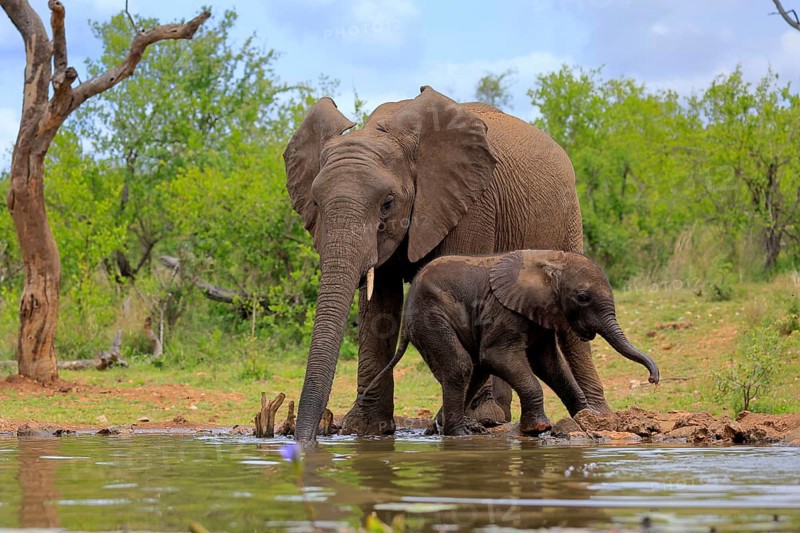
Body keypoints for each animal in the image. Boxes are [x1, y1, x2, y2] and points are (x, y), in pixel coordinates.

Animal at [284, 85, 613, 441]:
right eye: (316, 203)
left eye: (388, 203)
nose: (306, 440)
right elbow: (379, 306)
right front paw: (366, 431)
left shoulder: (473, 203)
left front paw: (458, 425)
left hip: (569, 215)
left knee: (569, 332)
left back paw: (590, 417)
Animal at [359, 250, 660, 436]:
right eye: (582, 297)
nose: (653, 379)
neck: (550, 261)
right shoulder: (504, 309)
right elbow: (498, 356)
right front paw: (538, 428)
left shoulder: (541, 312)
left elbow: (549, 364)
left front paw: (587, 418)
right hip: (430, 318)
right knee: (461, 365)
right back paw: (459, 434)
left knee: (474, 370)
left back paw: (445, 429)